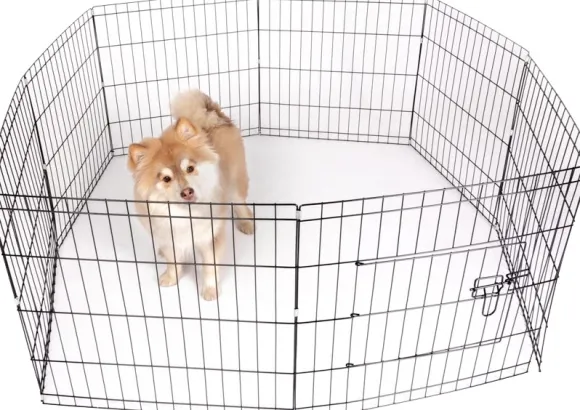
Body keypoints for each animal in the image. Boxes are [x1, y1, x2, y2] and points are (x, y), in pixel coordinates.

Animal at [127, 90, 254, 301]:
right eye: (166, 179)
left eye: (190, 168)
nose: (187, 191)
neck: (185, 215)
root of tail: (212, 117)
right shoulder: (169, 237)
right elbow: (173, 262)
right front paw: (171, 278)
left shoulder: (209, 238)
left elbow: (209, 268)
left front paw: (210, 291)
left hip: (235, 181)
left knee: (240, 204)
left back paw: (247, 224)